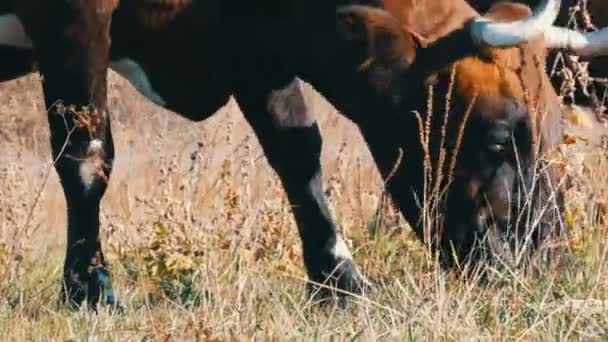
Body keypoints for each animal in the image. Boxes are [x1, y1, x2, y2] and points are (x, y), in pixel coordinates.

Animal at [0, 0, 604, 310]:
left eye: (556, 129)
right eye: (500, 137)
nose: (552, 260)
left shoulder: (255, 44)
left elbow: (297, 150)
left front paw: (341, 282)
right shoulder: (71, 19)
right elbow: (86, 155)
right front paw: (90, 289)